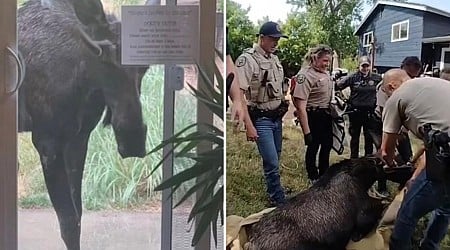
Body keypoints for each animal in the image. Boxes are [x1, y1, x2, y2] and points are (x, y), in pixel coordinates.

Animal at [18, 0, 148, 249]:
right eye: (103, 57)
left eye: (145, 66)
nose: (133, 139)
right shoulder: (46, 141)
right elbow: (68, 221)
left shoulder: (78, 138)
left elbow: (77, 216)